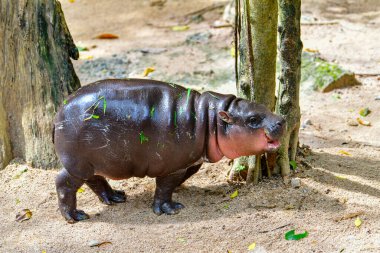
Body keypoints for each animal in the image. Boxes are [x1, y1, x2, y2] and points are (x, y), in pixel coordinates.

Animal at [53, 78, 284, 222]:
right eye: (253, 119)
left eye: (263, 106)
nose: (281, 119)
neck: (211, 120)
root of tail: (58, 114)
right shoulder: (173, 166)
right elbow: (165, 187)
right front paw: (170, 209)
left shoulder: (191, 160)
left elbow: (181, 178)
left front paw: (181, 190)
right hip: (77, 163)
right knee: (64, 183)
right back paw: (76, 216)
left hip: (91, 162)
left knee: (94, 179)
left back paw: (116, 197)